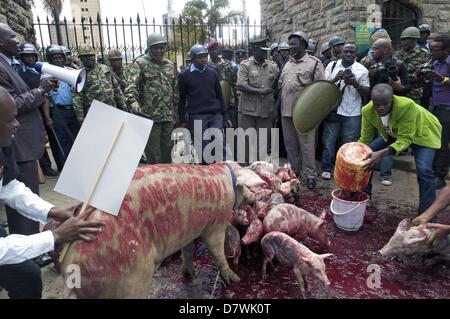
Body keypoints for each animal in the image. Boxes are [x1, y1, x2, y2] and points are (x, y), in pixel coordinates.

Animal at [55, 165, 253, 300]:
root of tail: (72, 268)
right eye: (249, 187)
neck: (228, 183)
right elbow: (217, 252)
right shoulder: (215, 225)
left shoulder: (188, 229)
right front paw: (235, 279)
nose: (254, 197)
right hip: (132, 277)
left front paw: (189, 274)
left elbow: (188, 250)